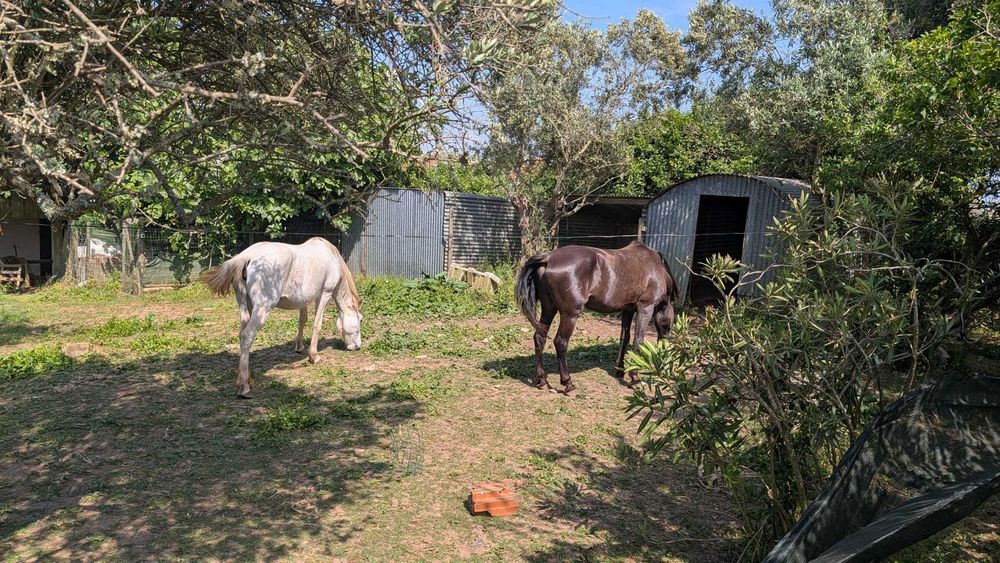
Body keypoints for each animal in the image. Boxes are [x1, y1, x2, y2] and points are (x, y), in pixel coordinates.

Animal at [202, 237, 362, 398]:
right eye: (360, 320)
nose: (357, 346)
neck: (330, 255)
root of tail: (247, 256)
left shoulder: (303, 300)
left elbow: (302, 320)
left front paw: (299, 347)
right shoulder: (325, 294)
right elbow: (317, 324)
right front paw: (314, 356)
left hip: (245, 307)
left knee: (242, 335)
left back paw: (248, 380)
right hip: (262, 309)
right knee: (247, 336)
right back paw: (244, 387)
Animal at [515, 241, 678, 393]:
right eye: (670, 323)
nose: (664, 343)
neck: (657, 268)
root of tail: (548, 258)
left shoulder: (627, 310)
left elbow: (624, 338)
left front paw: (620, 370)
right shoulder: (645, 308)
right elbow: (638, 340)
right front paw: (635, 377)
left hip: (549, 309)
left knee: (540, 338)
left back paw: (541, 379)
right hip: (570, 314)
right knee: (560, 342)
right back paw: (567, 382)